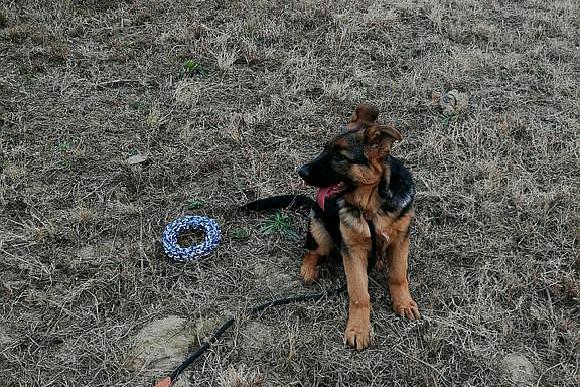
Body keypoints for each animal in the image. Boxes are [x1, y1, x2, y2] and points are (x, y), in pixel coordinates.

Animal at [242, 104, 420, 352]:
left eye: (339, 156)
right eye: (324, 148)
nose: (301, 171)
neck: (372, 206)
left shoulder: (401, 239)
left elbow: (398, 274)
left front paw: (403, 302)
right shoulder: (352, 250)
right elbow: (359, 292)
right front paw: (358, 329)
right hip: (320, 231)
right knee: (311, 250)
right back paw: (308, 270)